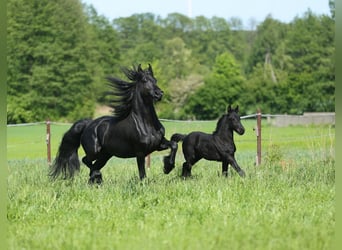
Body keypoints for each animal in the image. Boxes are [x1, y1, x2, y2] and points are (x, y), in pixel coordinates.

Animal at [49, 63, 178, 183]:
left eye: (155, 80)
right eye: (144, 80)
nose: (159, 94)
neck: (146, 124)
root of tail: (88, 124)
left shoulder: (158, 144)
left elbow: (174, 145)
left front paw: (168, 167)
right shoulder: (140, 152)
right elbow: (142, 173)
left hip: (106, 155)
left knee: (94, 166)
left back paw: (96, 180)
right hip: (95, 152)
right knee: (86, 160)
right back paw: (97, 176)